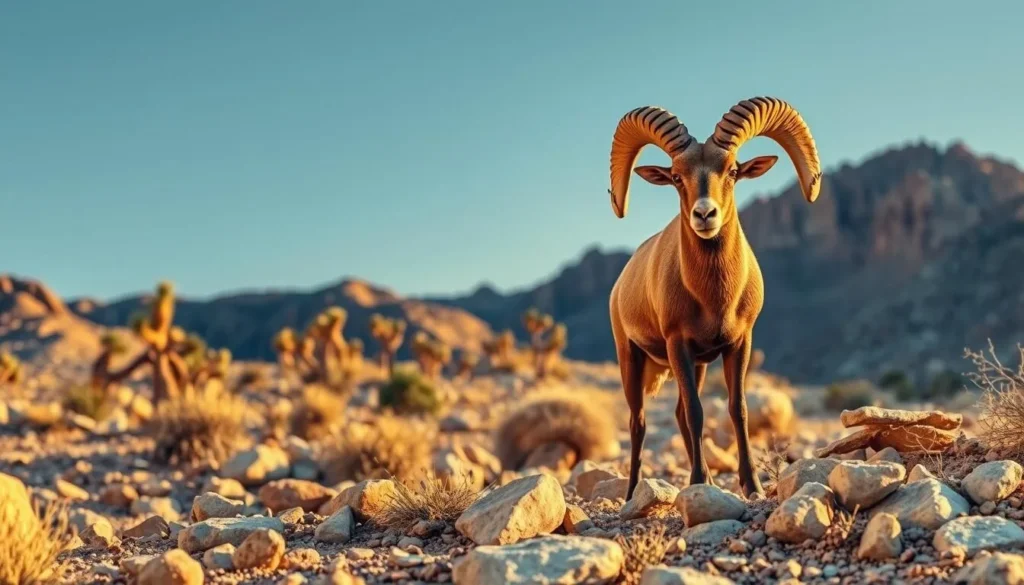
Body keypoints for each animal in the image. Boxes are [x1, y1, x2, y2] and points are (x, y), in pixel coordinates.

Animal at [606, 97, 822, 499]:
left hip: (698, 365)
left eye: (733, 171)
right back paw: (631, 494)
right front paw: (696, 482)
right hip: (632, 359)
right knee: (638, 422)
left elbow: (737, 409)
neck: (714, 297)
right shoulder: (678, 345)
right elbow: (696, 412)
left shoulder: (739, 344)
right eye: (677, 176)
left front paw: (751, 485)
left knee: (675, 413)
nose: (705, 215)